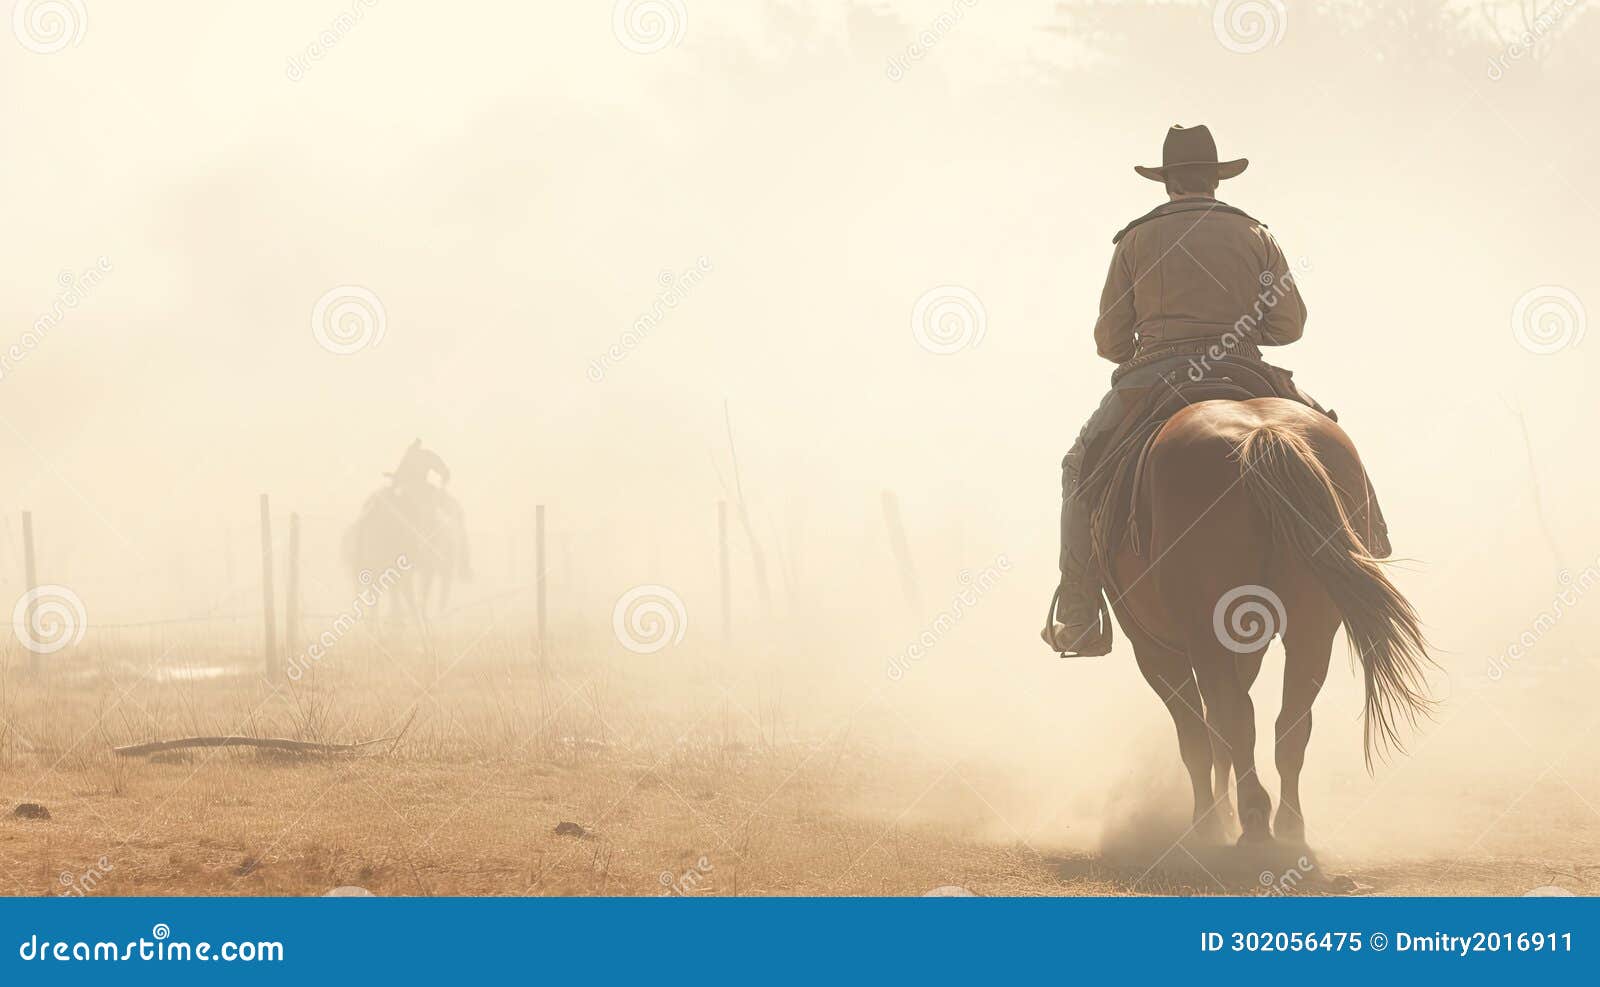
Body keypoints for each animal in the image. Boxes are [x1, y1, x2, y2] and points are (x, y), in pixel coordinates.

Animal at [1107, 396, 1433, 844]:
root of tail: (1260, 434)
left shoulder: (1152, 649)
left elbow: (1196, 737)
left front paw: (1208, 824)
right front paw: (1222, 815)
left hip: (1206, 633)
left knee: (1233, 719)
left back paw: (1252, 820)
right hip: (1311, 629)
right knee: (1289, 723)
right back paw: (1287, 825)